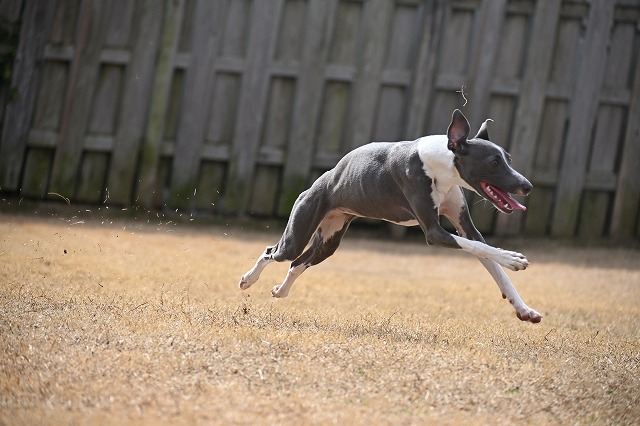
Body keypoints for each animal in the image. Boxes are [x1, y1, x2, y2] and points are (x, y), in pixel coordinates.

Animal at [239, 109, 542, 323]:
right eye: (493, 162)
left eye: (508, 159)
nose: (527, 186)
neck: (440, 164)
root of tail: (320, 183)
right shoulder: (435, 232)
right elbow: (482, 248)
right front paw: (513, 258)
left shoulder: (466, 228)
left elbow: (488, 257)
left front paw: (524, 309)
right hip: (298, 231)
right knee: (273, 252)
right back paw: (248, 280)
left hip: (328, 242)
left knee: (297, 264)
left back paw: (281, 291)